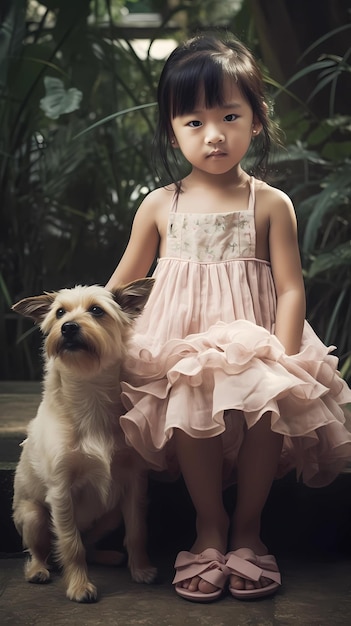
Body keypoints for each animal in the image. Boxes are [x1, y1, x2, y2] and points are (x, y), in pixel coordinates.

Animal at [12, 280, 157, 600]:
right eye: (59, 313)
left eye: (96, 310)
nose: (68, 327)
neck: (90, 393)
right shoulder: (61, 492)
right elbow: (71, 544)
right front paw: (79, 586)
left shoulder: (133, 484)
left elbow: (137, 533)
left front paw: (141, 570)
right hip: (34, 515)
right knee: (40, 550)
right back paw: (38, 570)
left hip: (110, 516)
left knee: (90, 544)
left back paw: (107, 556)